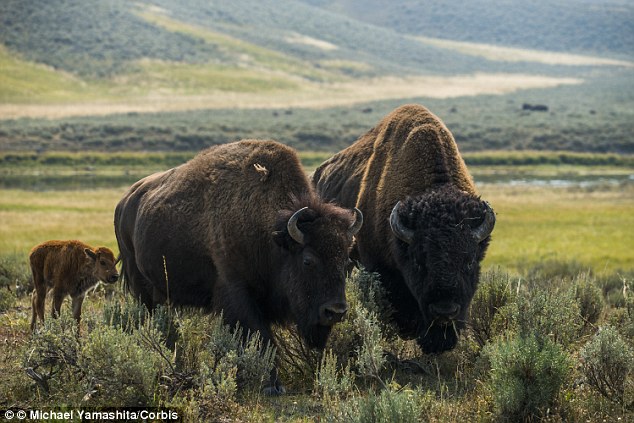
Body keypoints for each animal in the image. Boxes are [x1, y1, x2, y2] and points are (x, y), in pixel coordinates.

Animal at [113, 141, 360, 396]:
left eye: (346, 260)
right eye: (308, 260)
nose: (336, 311)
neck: (271, 234)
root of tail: (124, 203)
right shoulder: (237, 293)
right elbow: (260, 338)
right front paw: (271, 385)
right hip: (139, 284)